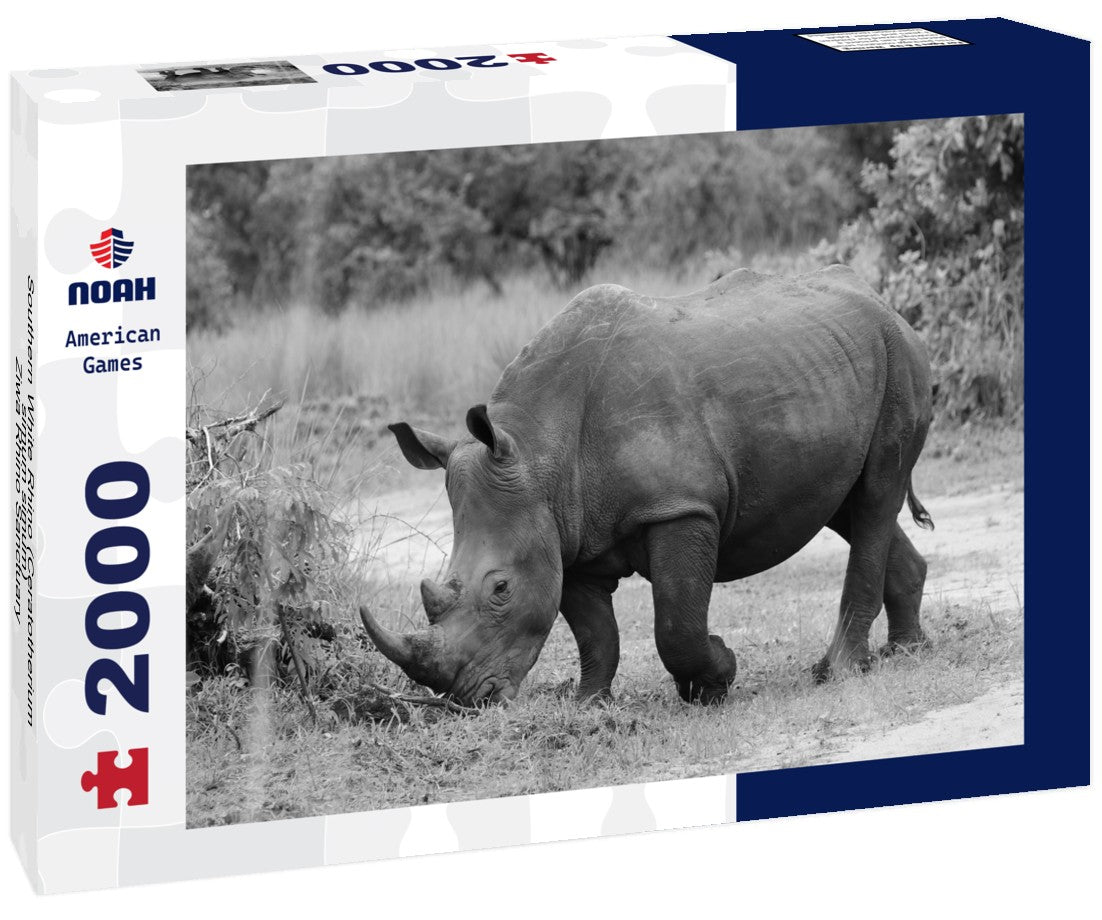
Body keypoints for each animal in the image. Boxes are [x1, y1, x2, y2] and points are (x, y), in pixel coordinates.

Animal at [360, 265, 934, 706]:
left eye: (501, 589)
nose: (467, 700)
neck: (537, 449)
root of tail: (885, 305)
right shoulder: (568, 533)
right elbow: (596, 633)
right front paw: (590, 705)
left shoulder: (680, 506)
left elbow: (676, 623)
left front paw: (715, 680)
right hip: (829, 369)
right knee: (847, 508)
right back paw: (906, 652)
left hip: (899, 360)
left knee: (876, 494)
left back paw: (839, 670)